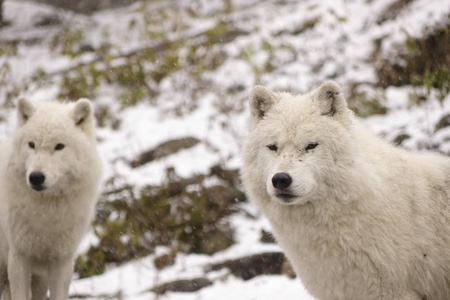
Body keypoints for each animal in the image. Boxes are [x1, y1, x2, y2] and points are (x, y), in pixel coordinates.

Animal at [0, 98, 102, 300]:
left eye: (59, 146)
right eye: (31, 144)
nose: (36, 177)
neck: (46, 215)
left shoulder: (61, 260)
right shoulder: (19, 258)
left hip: (38, 280)